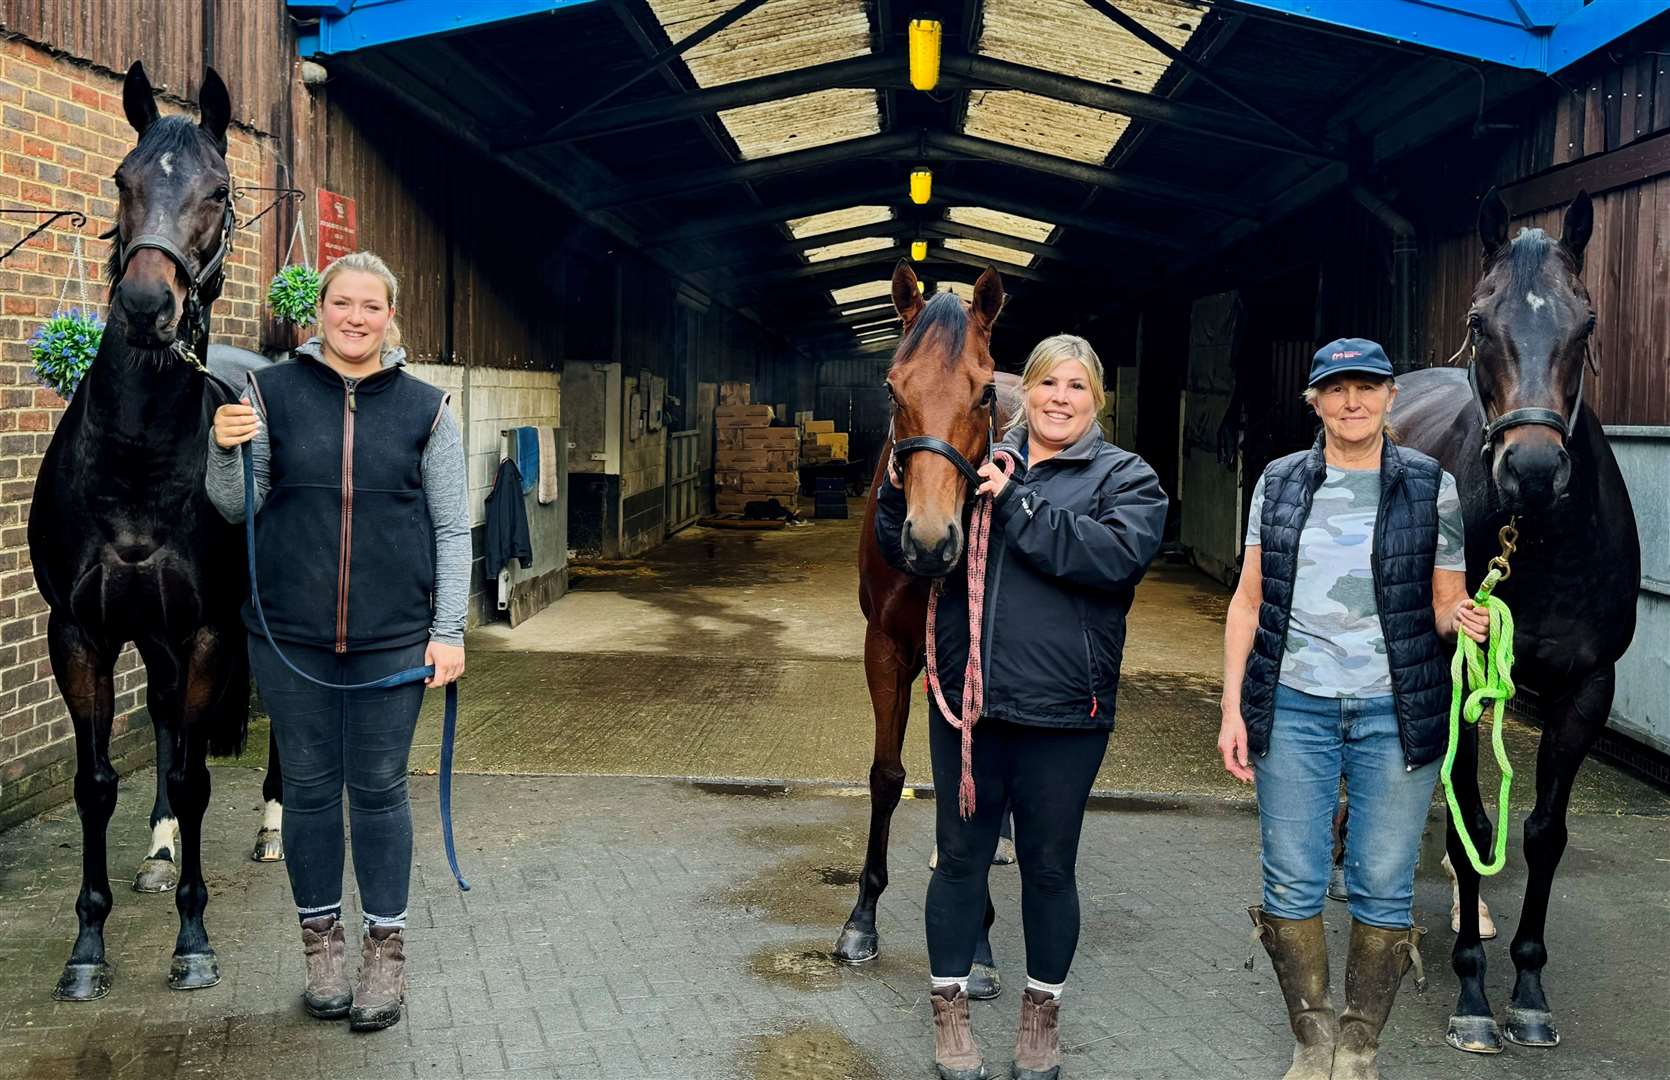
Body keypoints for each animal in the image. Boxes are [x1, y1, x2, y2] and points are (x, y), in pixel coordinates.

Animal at [1389, 190, 1636, 1054]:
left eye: (1586, 323)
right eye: (1479, 319)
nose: (1531, 469)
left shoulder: (1587, 688)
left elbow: (1541, 833)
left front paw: (1527, 991)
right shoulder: (1453, 668)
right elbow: (1470, 819)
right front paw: (1471, 995)